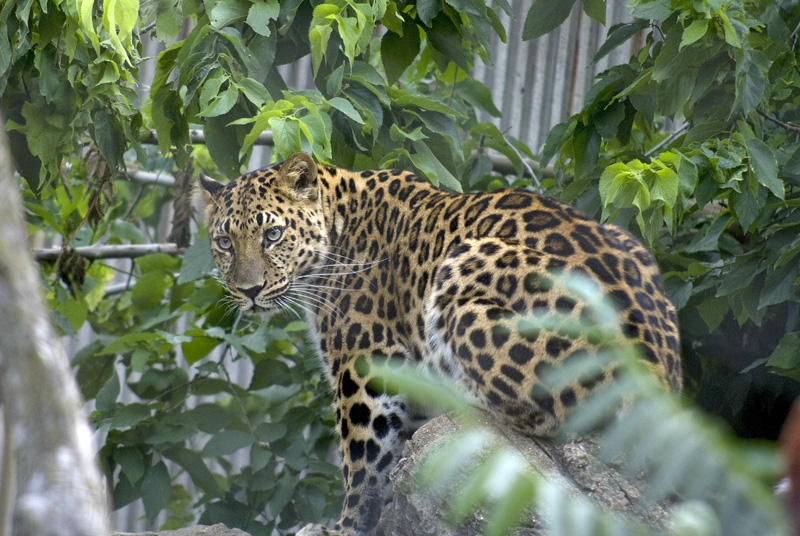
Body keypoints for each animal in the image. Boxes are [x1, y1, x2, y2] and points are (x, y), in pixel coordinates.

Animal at [195, 152, 680, 536]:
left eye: (272, 235)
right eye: (224, 242)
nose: (249, 291)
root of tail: (662, 378)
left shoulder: (365, 367)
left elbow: (363, 463)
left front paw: (343, 528)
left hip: (466, 265)